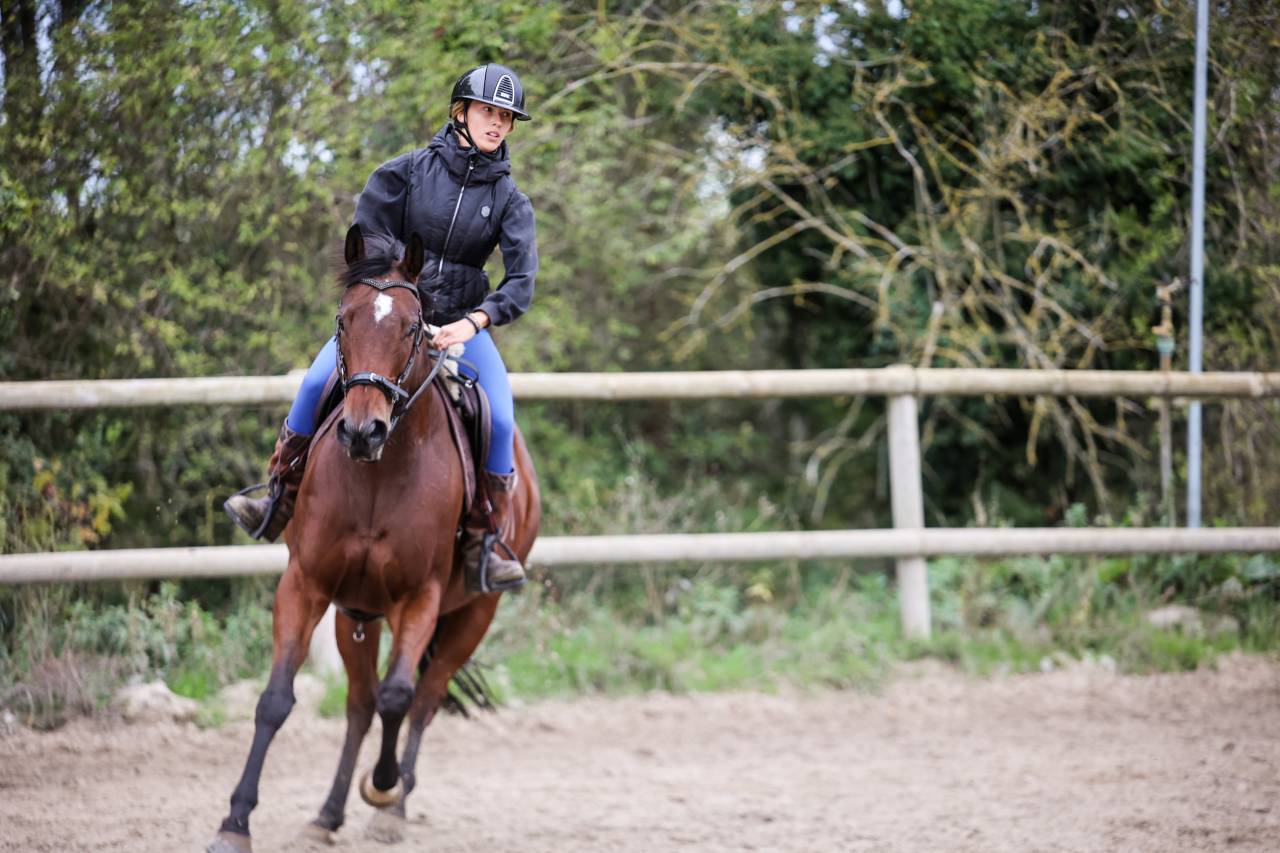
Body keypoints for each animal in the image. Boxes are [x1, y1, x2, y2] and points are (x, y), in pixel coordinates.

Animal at [208, 224, 541, 852]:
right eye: (344, 320)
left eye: (413, 327)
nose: (364, 430)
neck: (377, 478)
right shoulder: (307, 584)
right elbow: (276, 700)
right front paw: (235, 822)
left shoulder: (421, 597)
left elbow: (398, 697)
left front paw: (383, 789)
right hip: (356, 615)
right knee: (360, 704)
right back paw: (327, 814)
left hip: (472, 615)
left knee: (422, 700)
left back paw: (394, 804)